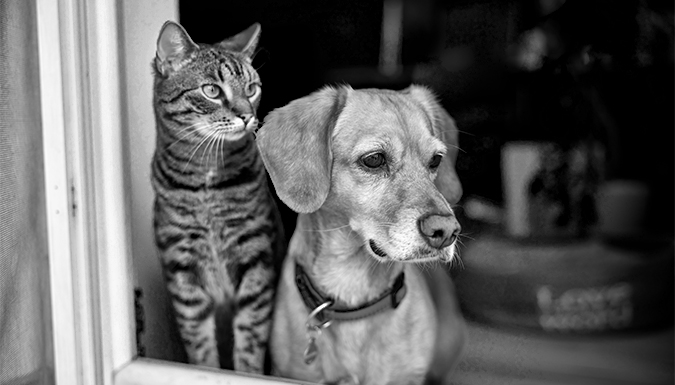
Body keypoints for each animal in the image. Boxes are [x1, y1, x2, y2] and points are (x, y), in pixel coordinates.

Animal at [151, 20, 286, 372]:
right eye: (211, 91)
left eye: (251, 89)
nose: (247, 116)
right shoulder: (182, 265)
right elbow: (198, 340)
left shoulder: (256, 255)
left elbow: (251, 334)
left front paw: (249, 374)